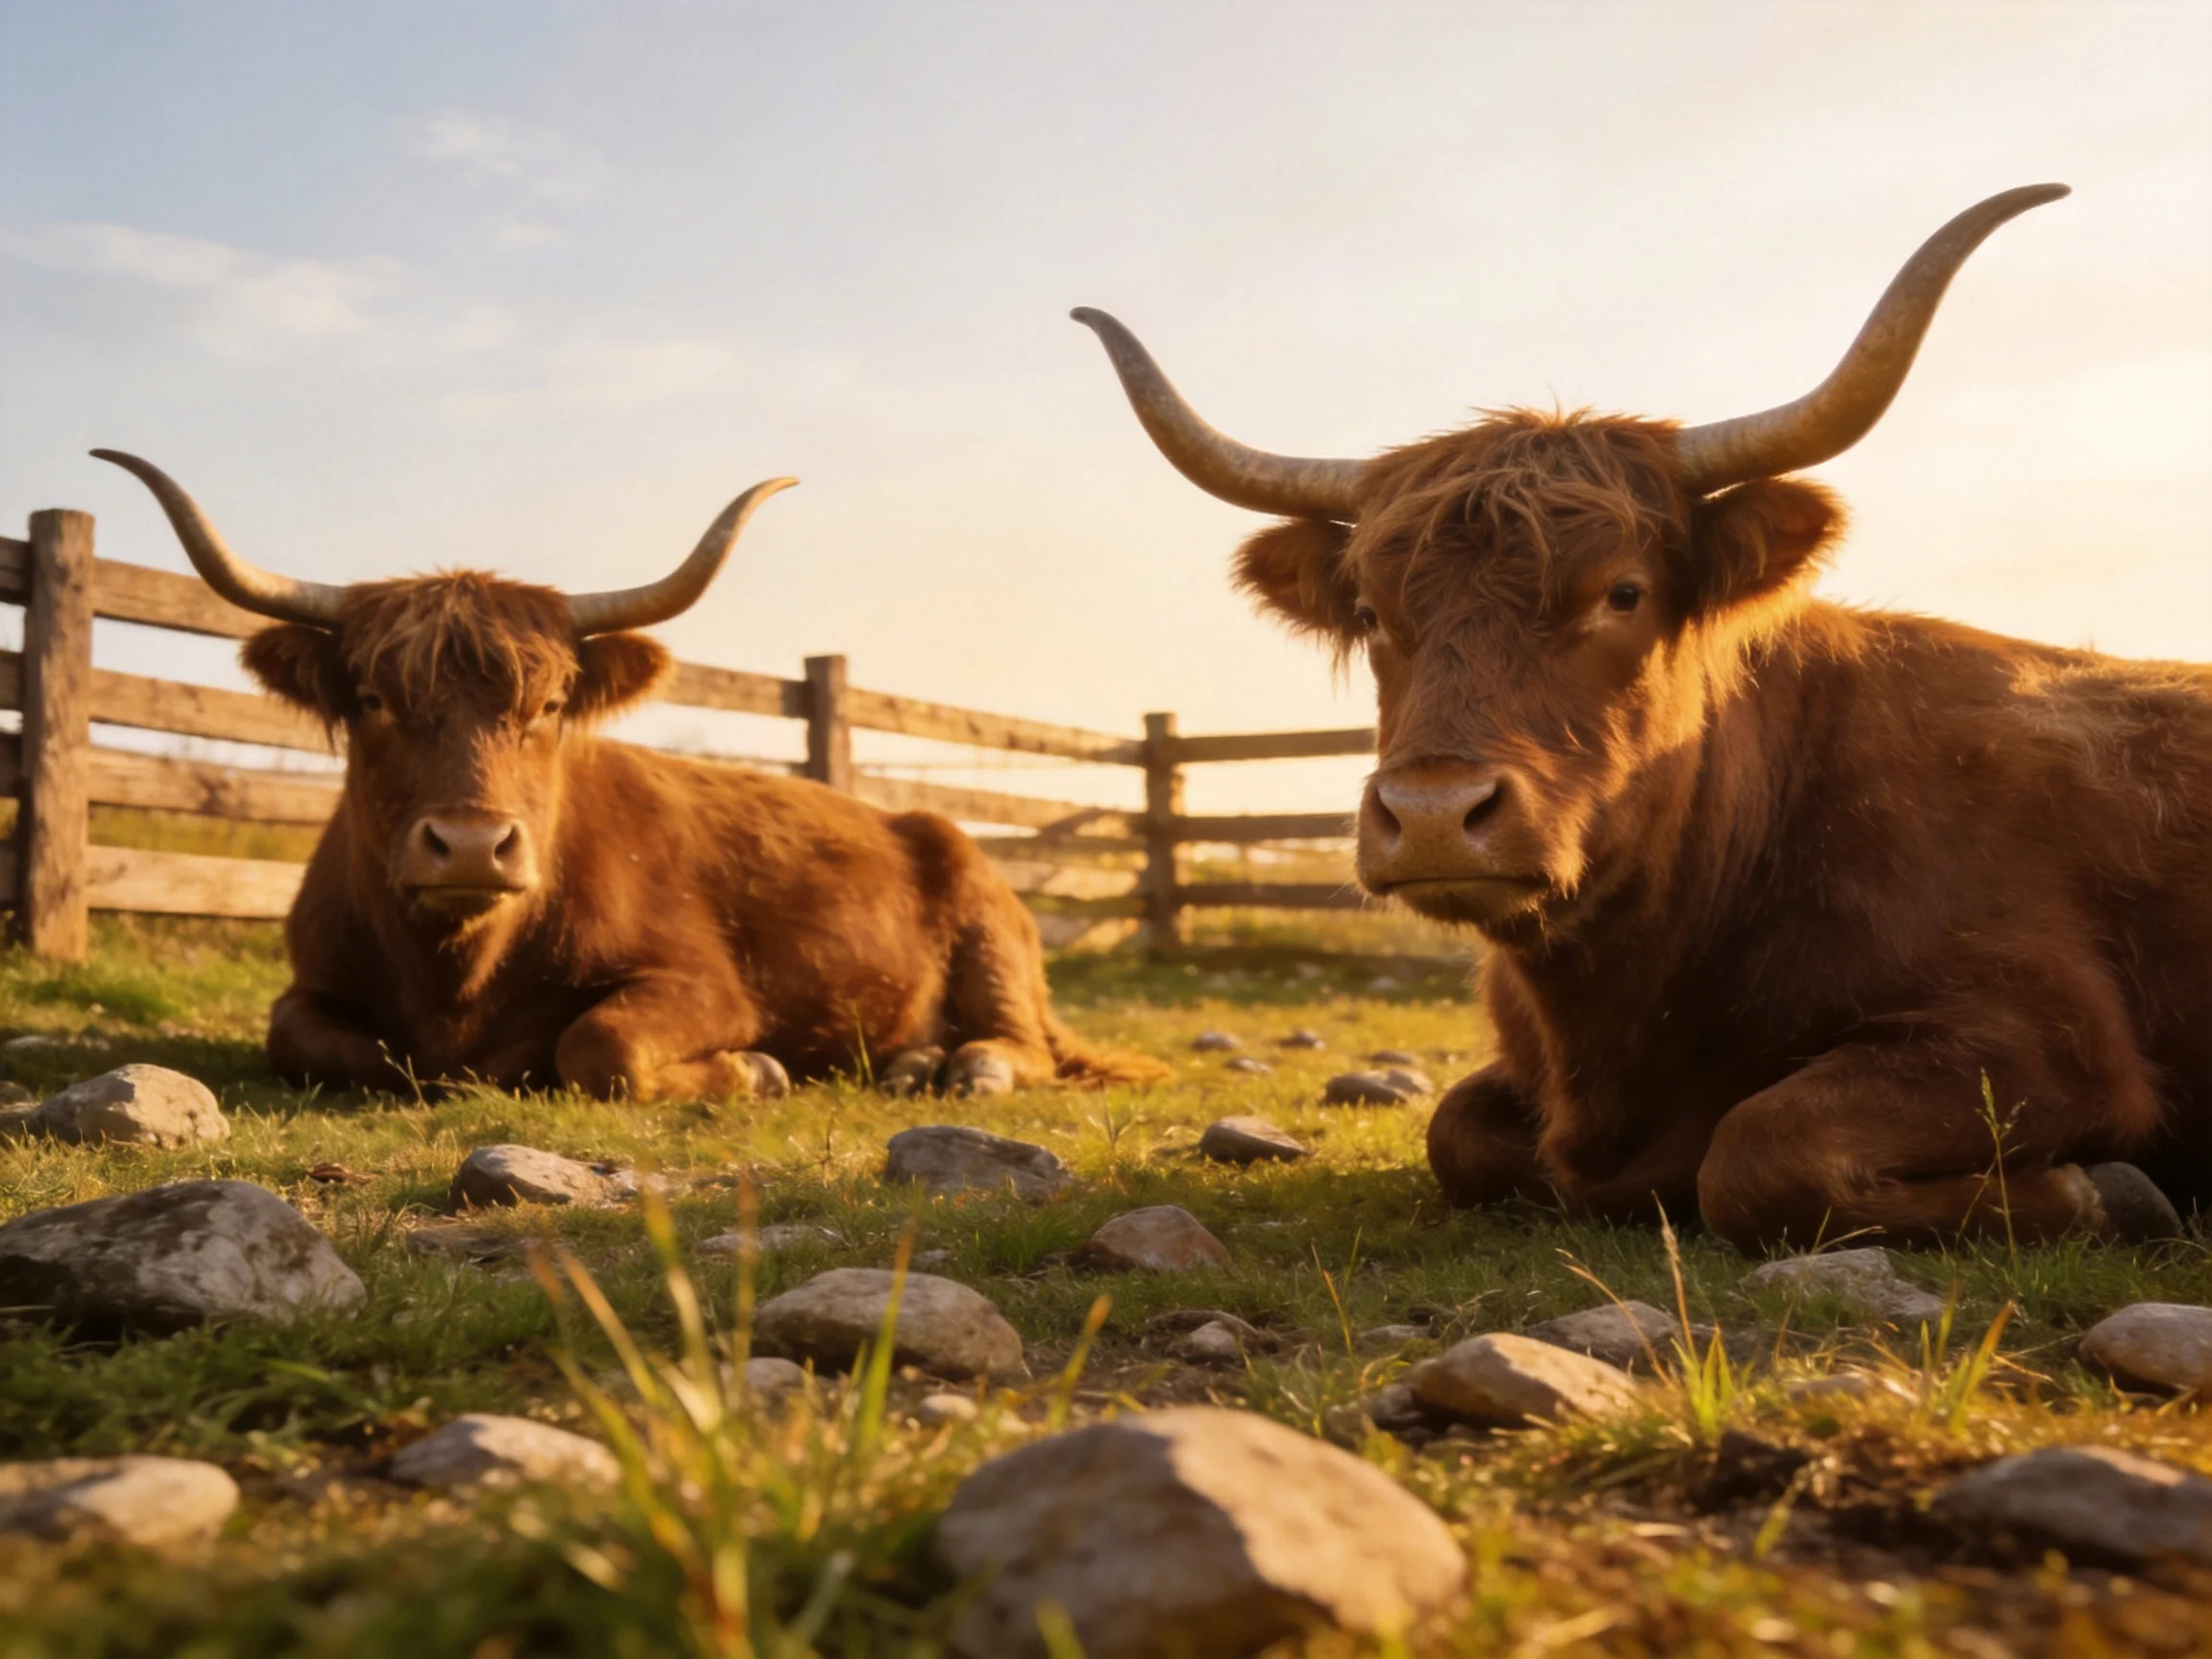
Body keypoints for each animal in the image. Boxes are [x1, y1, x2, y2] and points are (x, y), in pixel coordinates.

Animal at [95, 452, 1163, 1102]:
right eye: (370, 697)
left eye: (553, 701)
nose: (471, 846)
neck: (458, 975)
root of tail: (925, 825)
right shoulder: (313, 985)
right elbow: (312, 1041)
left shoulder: (706, 984)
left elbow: (596, 1046)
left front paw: (758, 1073)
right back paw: (908, 1065)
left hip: (993, 945)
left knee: (1019, 1044)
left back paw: (960, 1071)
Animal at [1075, 184, 2212, 1251]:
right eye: (1369, 611)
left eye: (1622, 592)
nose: (1435, 813)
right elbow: (1457, 1130)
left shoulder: (2048, 1038)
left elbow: (1760, 1149)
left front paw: (2091, 1191)